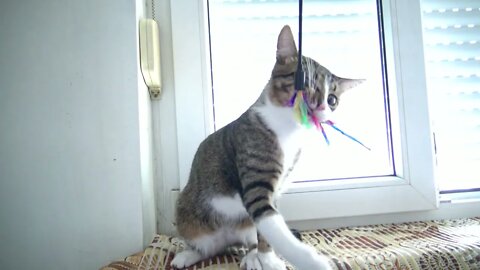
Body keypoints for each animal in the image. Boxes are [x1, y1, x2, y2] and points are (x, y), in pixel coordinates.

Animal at [171, 25, 362, 270]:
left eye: (332, 100)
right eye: (304, 83)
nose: (321, 107)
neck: (287, 130)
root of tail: (229, 239)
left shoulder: (276, 188)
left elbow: (268, 229)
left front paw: (267, 258)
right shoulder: (256, 179)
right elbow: (271, 222)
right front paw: (313, 262)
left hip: (243, 228)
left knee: (244, 240)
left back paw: (252, 255)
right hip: (188, 214)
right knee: (205, 245)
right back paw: (189, 254)